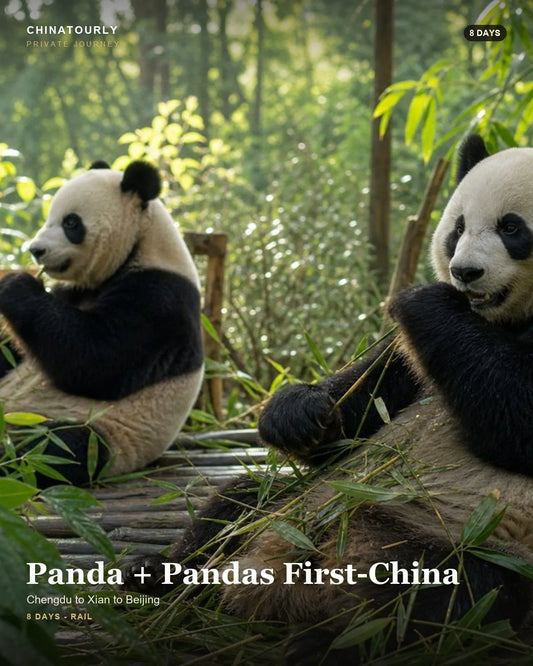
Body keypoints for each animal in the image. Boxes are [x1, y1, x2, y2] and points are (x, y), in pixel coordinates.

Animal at [0, 160, 204, 486]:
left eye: (71, 223)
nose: (36, 250)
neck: (142, 244)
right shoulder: (73, 291)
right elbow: (14, 350)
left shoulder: (161, 299)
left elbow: (96, 361)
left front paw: (15, 284)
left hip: (101, 434)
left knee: (54, 449)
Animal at [126, 135, 533, 664]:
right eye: (458, 228)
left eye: (512, 228)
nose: (464, 273)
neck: (498, 321)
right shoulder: (412, 358)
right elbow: (365, 401)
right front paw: (299, 414)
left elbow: (516, 419)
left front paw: (424, 299)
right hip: (286, 506)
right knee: (236, 503)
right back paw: (159, 575)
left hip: (478, 546)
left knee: (438, 598)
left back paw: (325, 640)